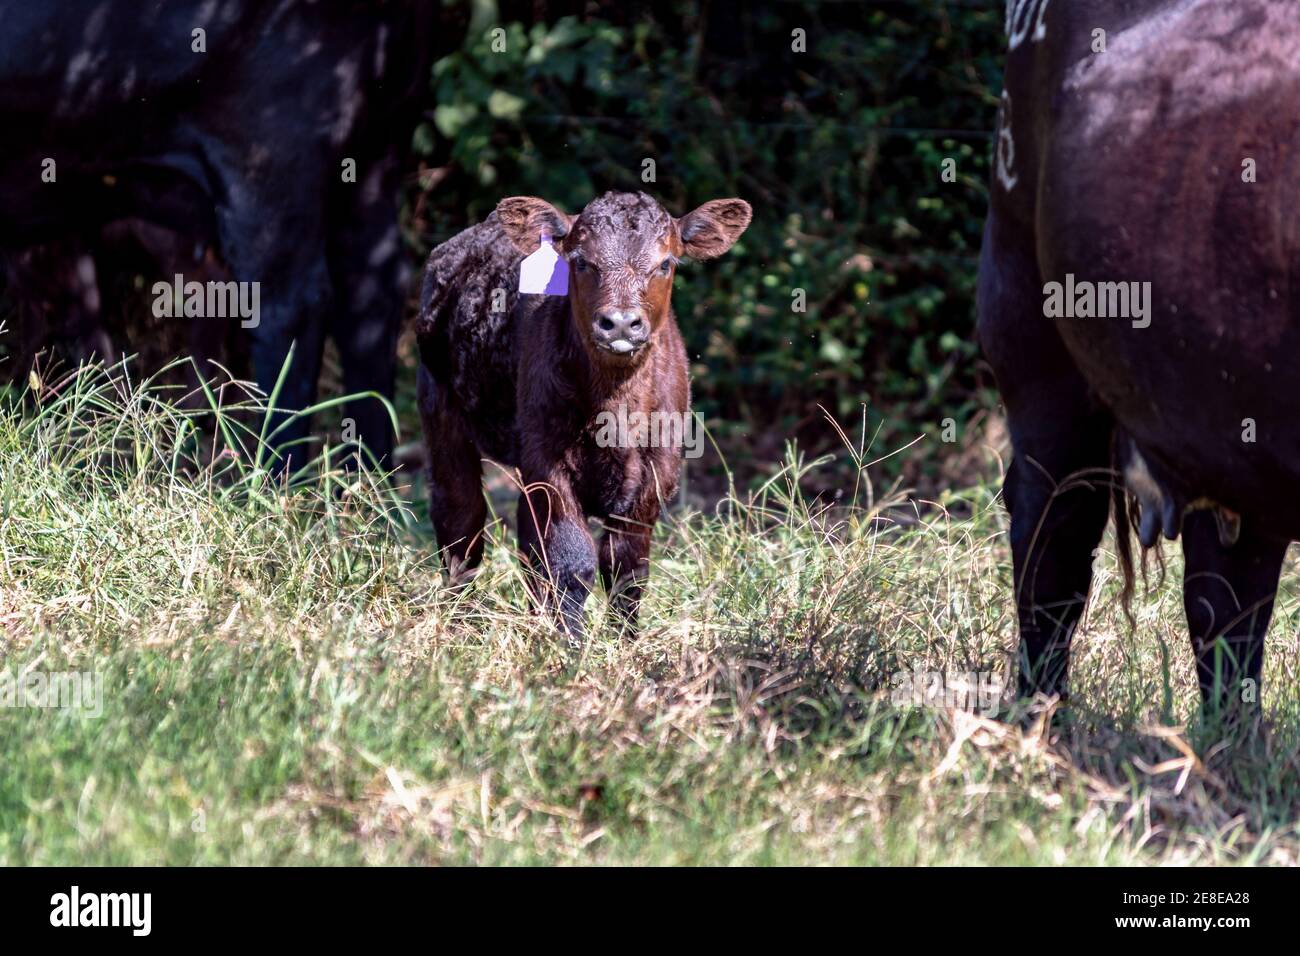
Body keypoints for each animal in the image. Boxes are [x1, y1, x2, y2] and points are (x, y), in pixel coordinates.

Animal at [0, 0, 441, 468]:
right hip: (378, 149)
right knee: (370, 293)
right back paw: (368, 481)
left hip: (272, 156)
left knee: (288, 310)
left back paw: (273, 477)